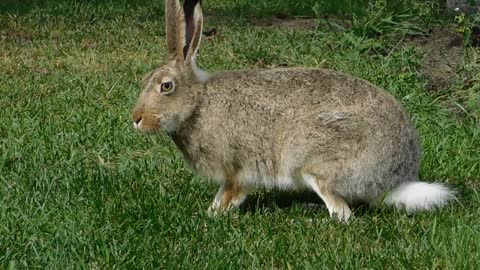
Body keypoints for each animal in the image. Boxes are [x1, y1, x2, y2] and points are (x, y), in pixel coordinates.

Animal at [130, 0, 454, 221]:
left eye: (166, 86)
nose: (136, 120)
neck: (197, 103)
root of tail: (394, 177)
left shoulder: (238, 169)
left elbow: (232, 194)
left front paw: (213, 216)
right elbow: (220, 193)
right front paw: (208, 211)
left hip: (314, 159)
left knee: (343, 213)